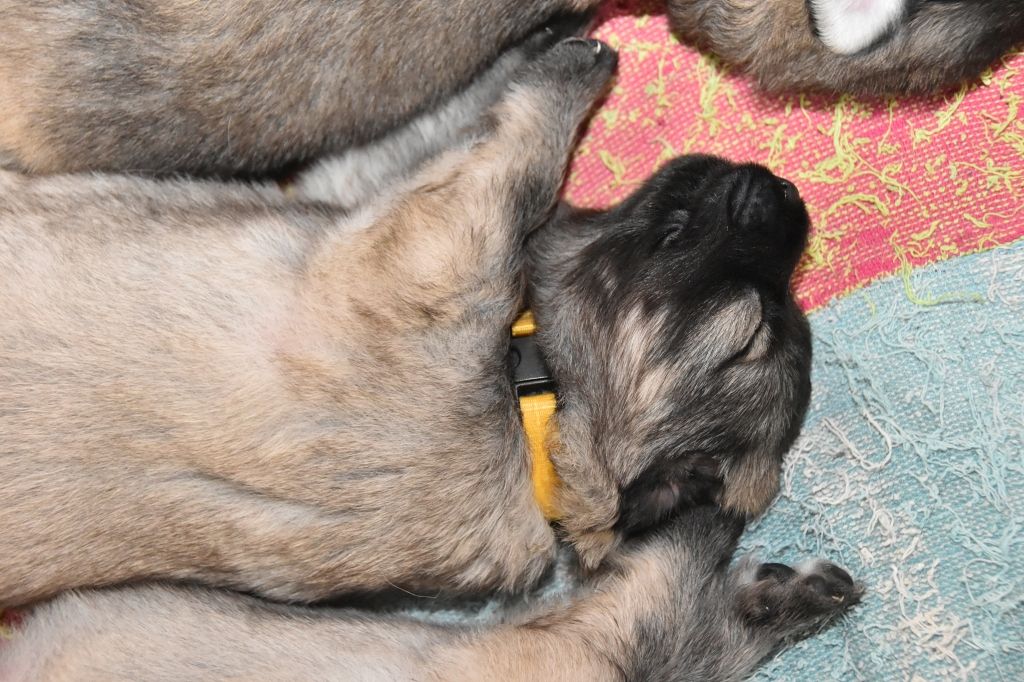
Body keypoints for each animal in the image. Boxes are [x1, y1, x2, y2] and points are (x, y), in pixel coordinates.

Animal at [0, 38, 812, 608]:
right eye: (766, 325)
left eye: (747, 335)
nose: (788, 195)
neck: (531, 399)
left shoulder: (430, 237)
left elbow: (520, 158)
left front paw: (568, 66)